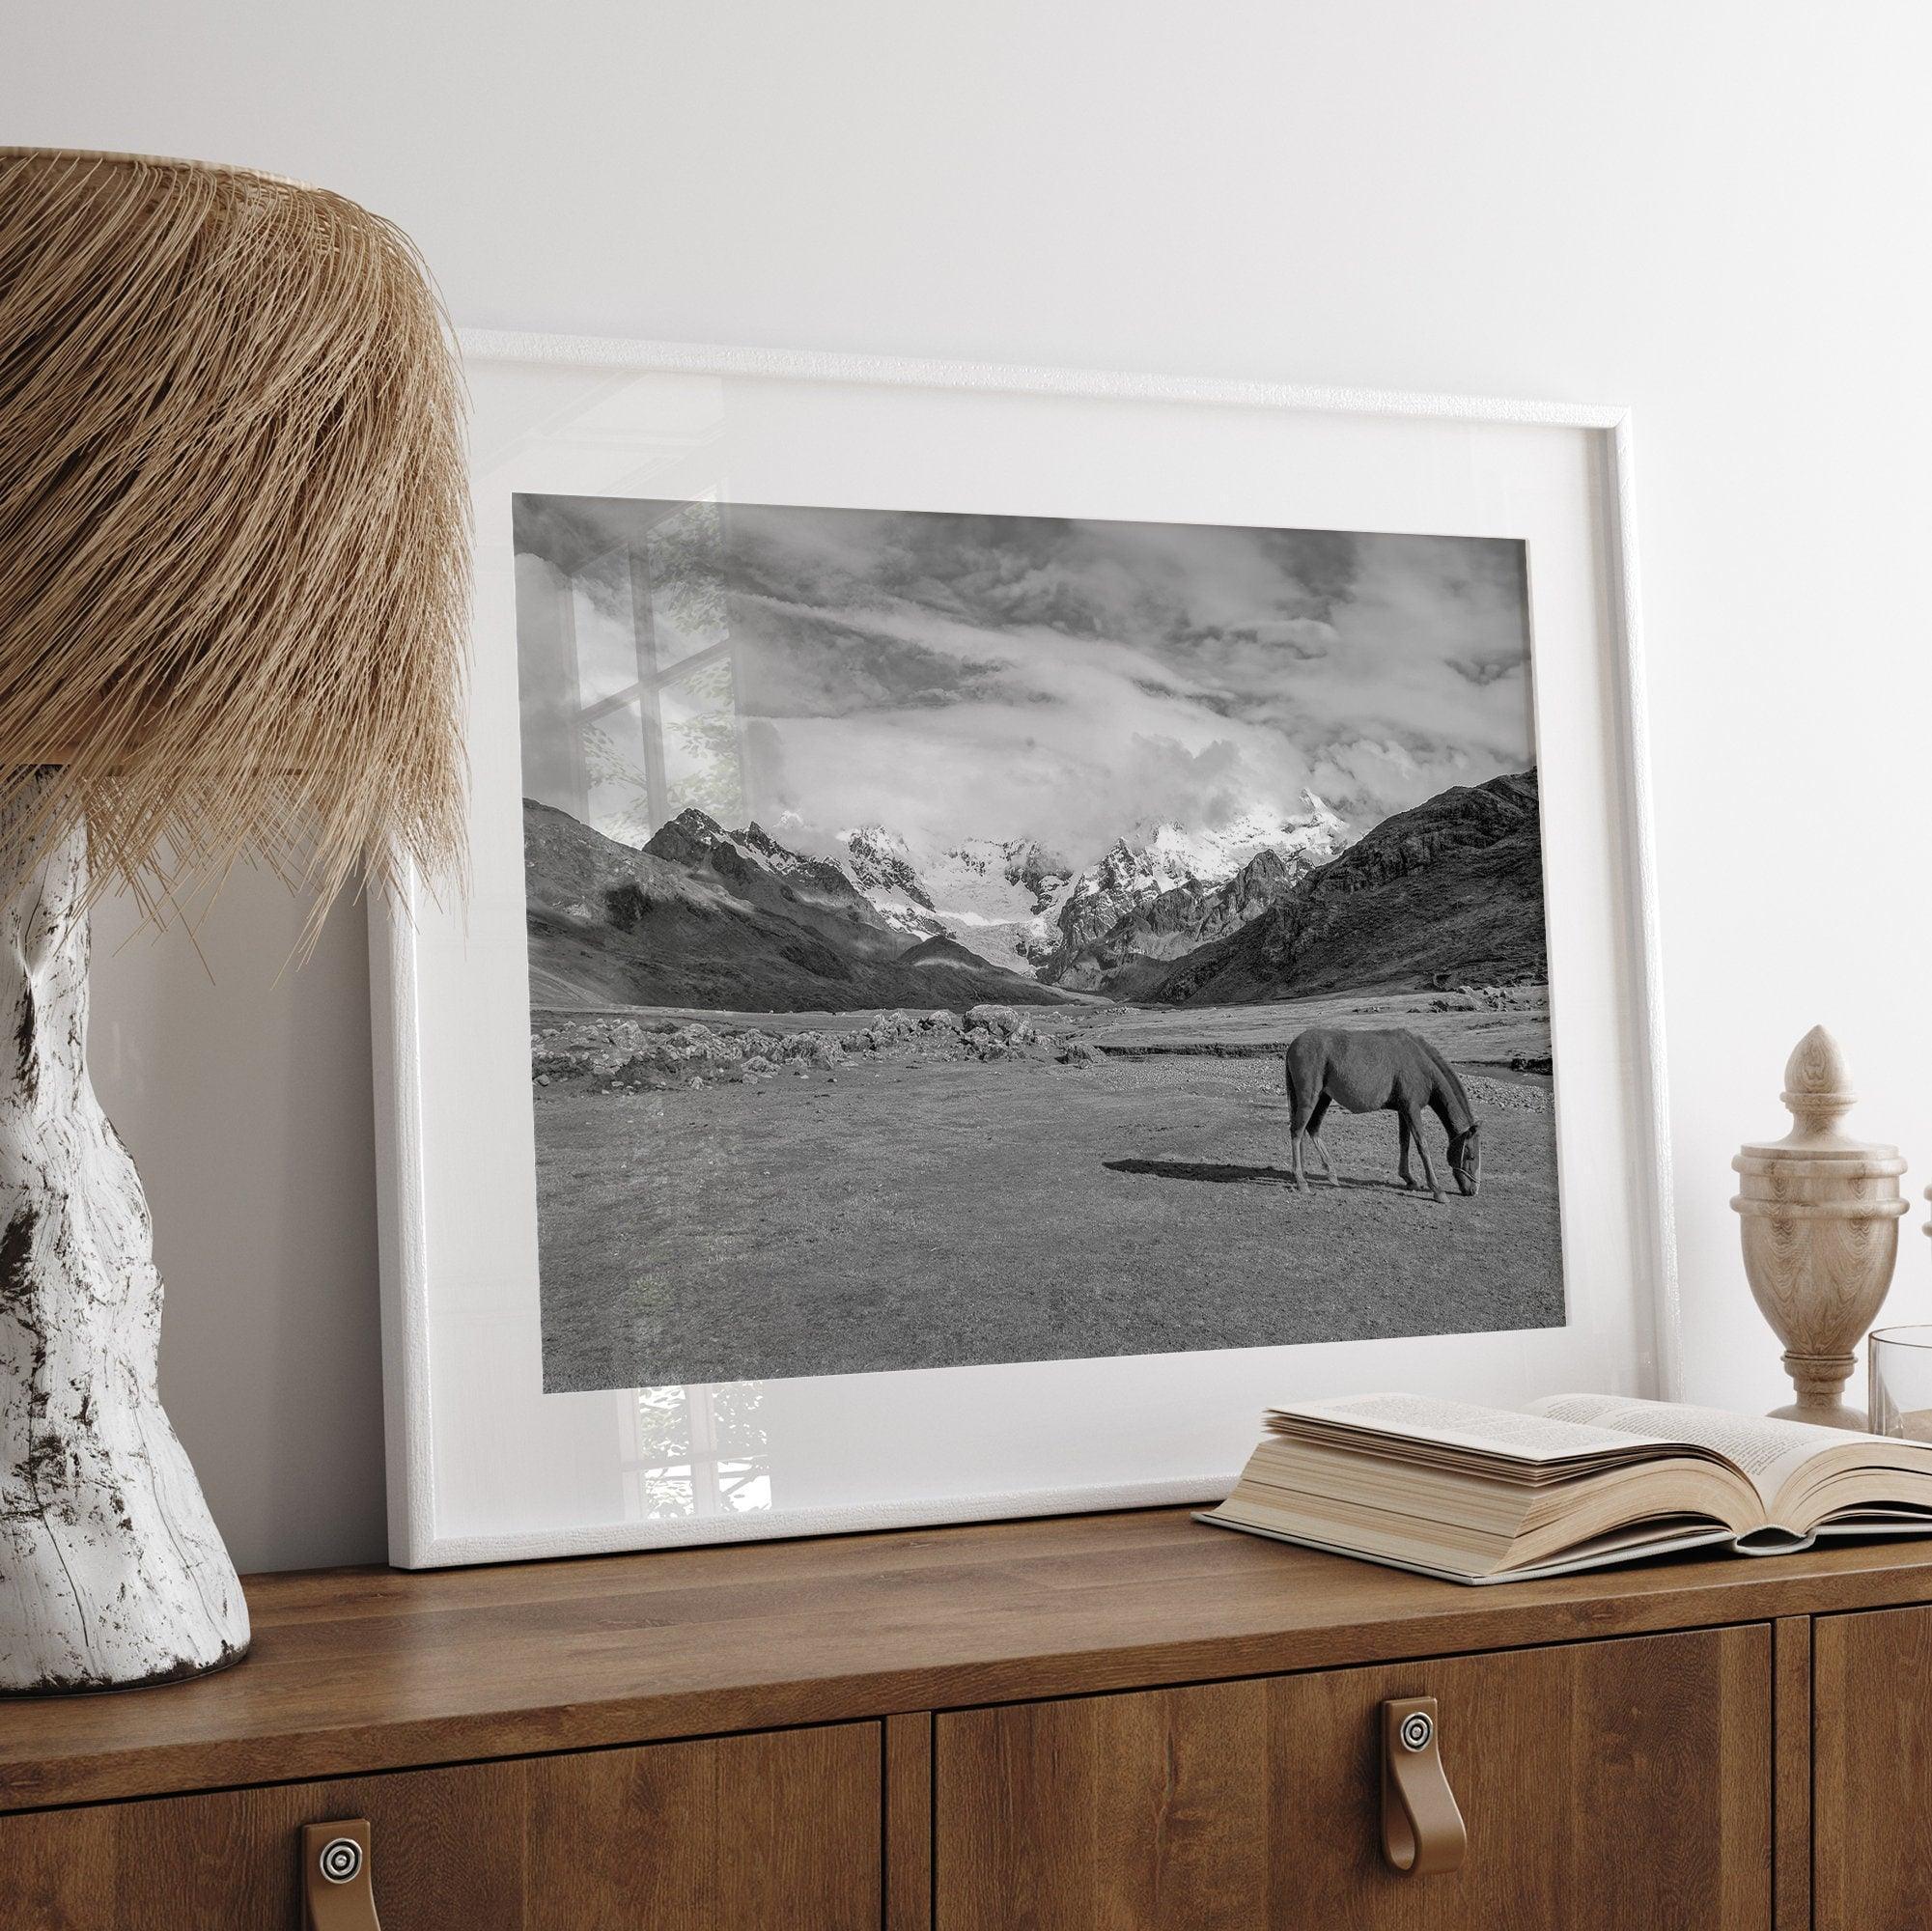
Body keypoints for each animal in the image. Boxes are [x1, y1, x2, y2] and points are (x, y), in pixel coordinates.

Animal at [1290, 1035, 1483, 1197]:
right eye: (1471, 1156)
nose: (1474, 1190)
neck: (1420, 1065)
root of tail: (1294, 1044)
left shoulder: (1404, 1111)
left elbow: (1404, 1143)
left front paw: (1409, 1179)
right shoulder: (1412, 1110)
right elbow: (1422, 1145)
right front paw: (1437, 1190)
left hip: (1323, 1098)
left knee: (1312, 1128)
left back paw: (1329, 1173)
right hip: (1309, 1099)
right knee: (1297, 1132)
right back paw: (1301, 1181)